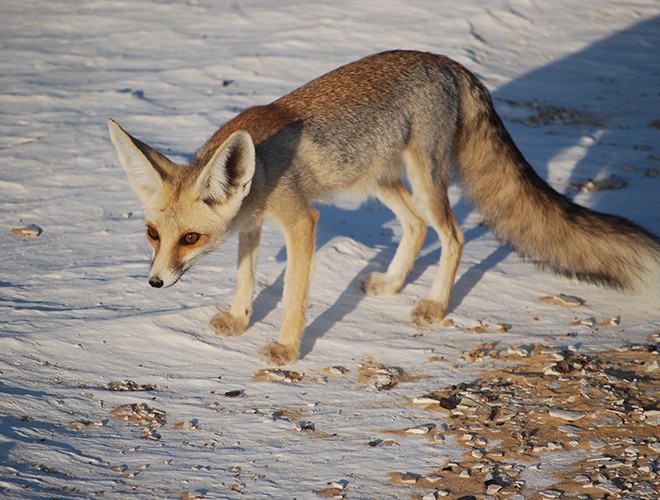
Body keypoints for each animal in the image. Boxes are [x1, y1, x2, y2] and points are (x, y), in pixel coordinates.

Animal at [109, 49, 660, 364]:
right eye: (153, 234)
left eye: (190, 239)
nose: (154, 282)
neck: (260, 170)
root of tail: (450, 63)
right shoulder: (252, 225)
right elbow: (245, 277)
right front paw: (240, 320)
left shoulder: (300, 220)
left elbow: (292, 297)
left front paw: (287, 349)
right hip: (381, 179)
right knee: (416, 227)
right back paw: (394, 284)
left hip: (423, 176)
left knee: (453, 234)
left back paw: (434, 304)